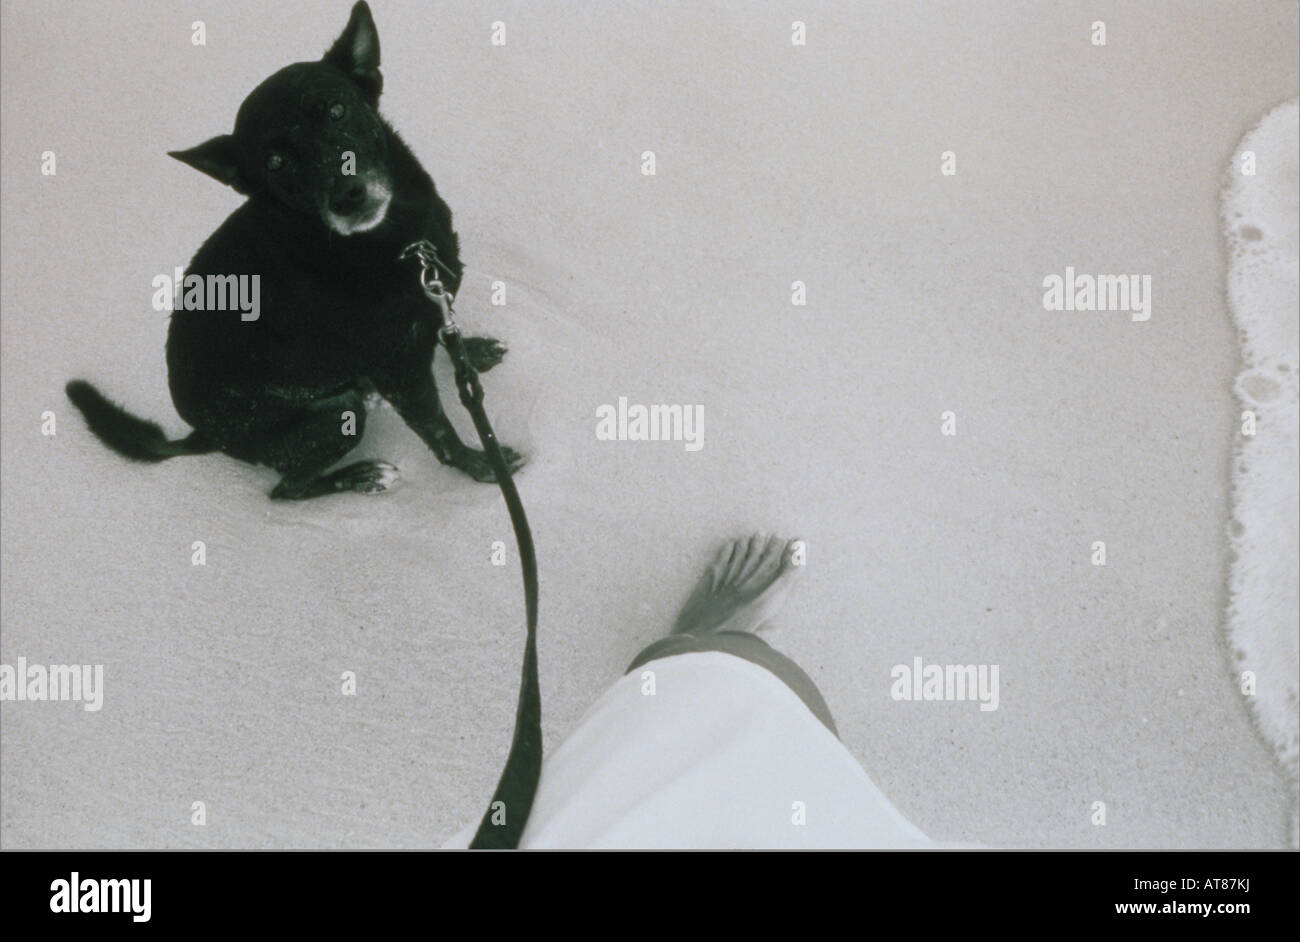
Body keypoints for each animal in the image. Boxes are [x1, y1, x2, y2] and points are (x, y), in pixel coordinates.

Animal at [65, 1, 522, 498]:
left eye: (337, 110)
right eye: (276, 162)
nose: (347, 196)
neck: (392, 238)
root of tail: (202, 436)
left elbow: (443, 332)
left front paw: (470, 351)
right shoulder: (401, 373)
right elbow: (439, 428)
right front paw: (479, 463)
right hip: (335, 414)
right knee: (288, 488)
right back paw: (360, 475)